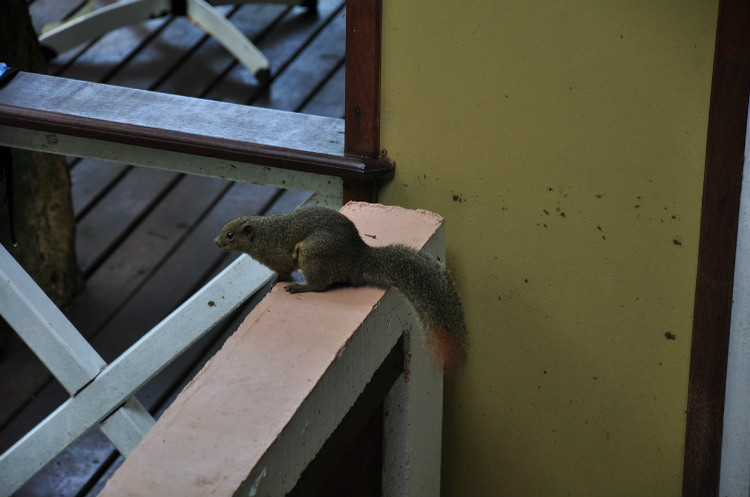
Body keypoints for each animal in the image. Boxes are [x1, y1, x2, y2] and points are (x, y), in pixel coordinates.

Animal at [214, 203, 468, 370]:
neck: (262, 236)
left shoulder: (278, 255)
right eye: (223, 232)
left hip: (314, 254)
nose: (216, 242)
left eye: (230, 235)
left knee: (320, 285)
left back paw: (302, 287)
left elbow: (285, 270)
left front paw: (280, 281)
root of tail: (359, 256)